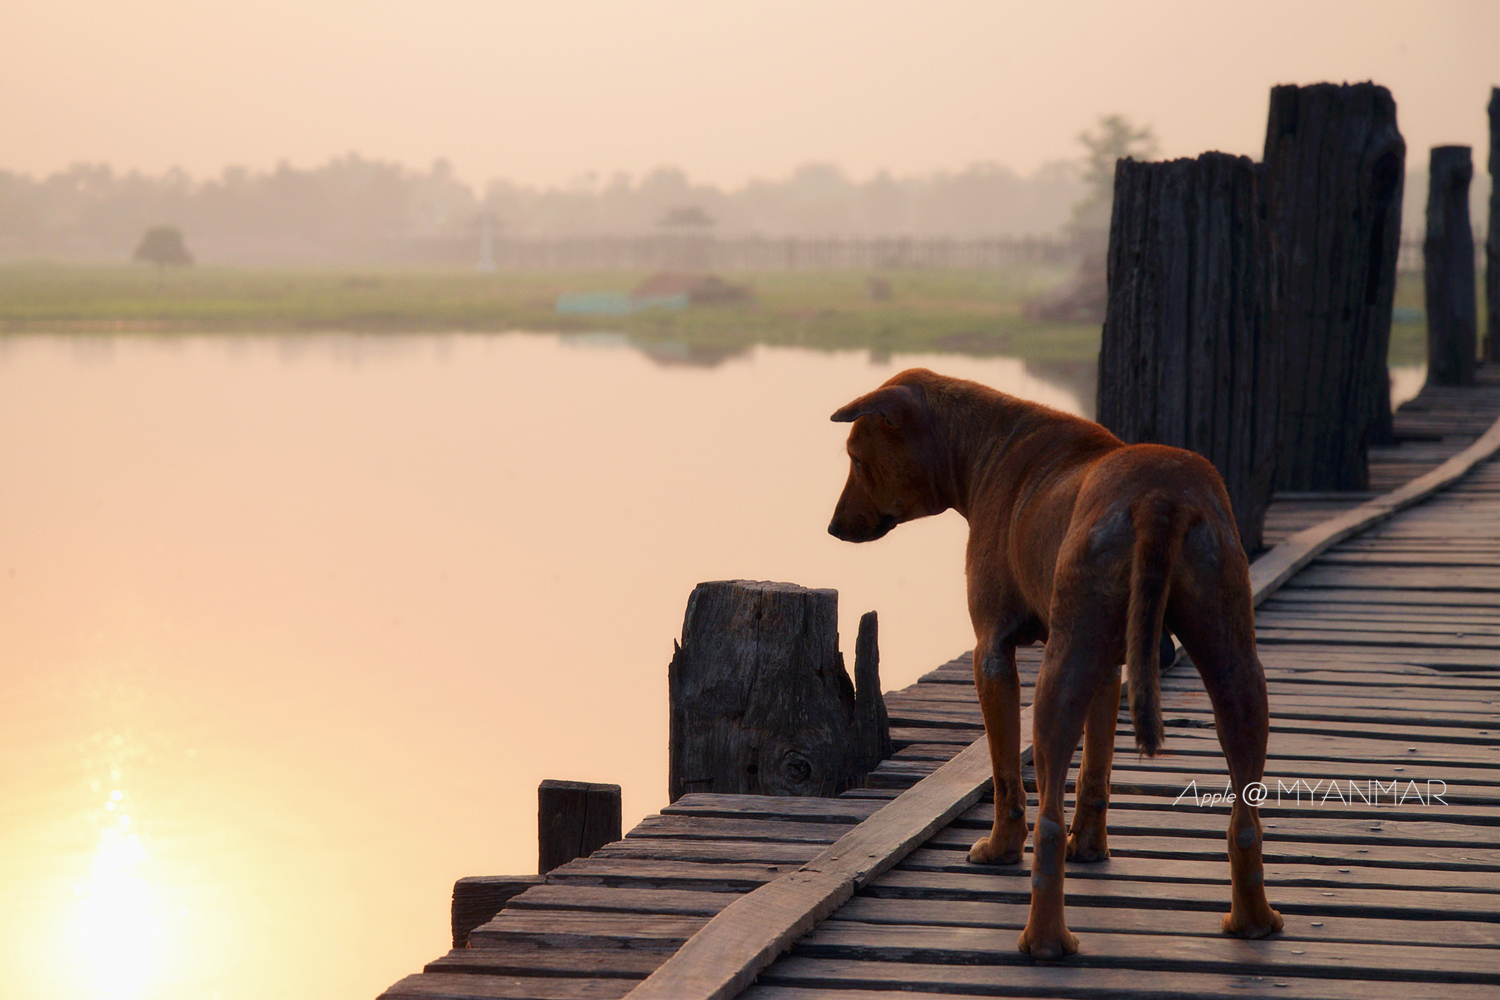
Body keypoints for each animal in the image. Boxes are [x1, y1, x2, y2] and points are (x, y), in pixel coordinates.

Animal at [828, 370, 1284, 959]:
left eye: (857, 458)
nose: (834, 526)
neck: (985, 445)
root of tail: (1159, 498)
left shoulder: (992, 652)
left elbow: (1005, 772)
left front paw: (1000, 847)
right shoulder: (1108, 666)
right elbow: (1096, 767)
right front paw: (1088, 847)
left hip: (1056, 679)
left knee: (1045, 816)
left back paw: (1042, 939)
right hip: (1230, 654)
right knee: (1245, 815)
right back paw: (1252, 921)